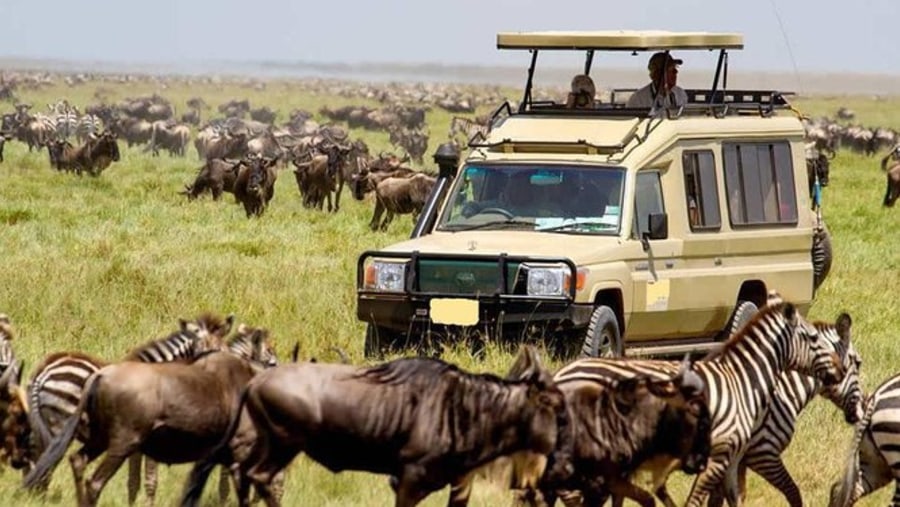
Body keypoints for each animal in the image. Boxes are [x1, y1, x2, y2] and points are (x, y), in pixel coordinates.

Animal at [540, 302, 852, 507]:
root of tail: (561, 374)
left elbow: (729, 499)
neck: (743, 379)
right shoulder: (743, 453)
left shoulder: (733, 457)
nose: (839, 370)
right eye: (812, 339)